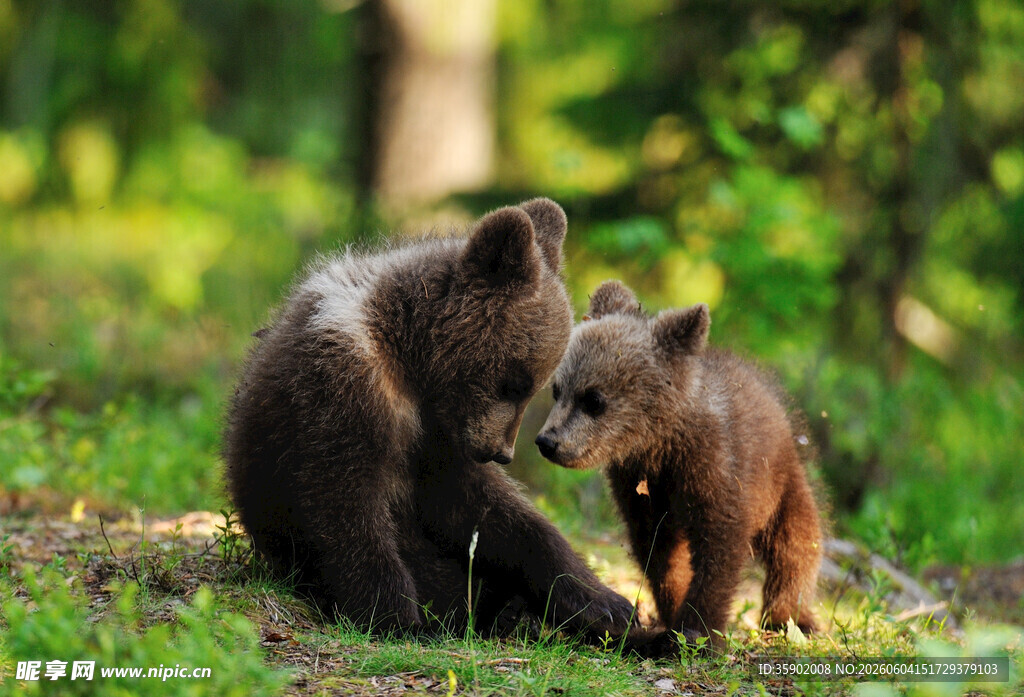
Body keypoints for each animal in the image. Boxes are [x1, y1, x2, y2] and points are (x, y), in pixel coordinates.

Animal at [223, 200, 634, 639]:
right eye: (514, 383)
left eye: (537, 387)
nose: (501, 453)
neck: (409, 359)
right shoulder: (341, 386)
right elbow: (343, 500)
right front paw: (395, 613)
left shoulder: (440, 435)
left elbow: (484, 509)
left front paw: (607, 604)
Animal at [534, 280, 824, 647]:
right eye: (558, 390)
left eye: (594, 399)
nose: (548, 442)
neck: (660, 444)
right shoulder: (639, 485)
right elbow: (658, 551)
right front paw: (673, 614)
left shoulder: (715, 468)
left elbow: (719, 546)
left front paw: (699, 628)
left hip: (782, 481)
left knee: (797, 545)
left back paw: (791, 617)